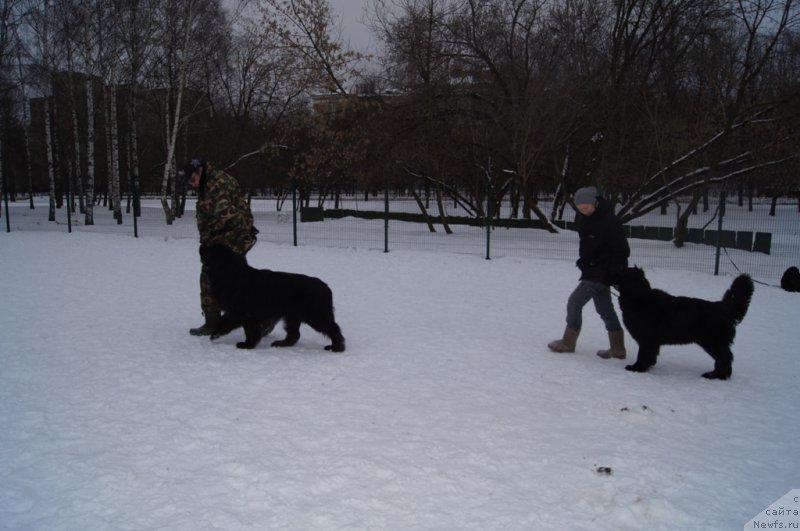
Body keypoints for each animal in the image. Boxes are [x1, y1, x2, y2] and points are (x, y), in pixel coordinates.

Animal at [199, 245, 344, 354]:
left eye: (210, 250)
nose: (201, 245)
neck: (231, 275)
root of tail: (326, 287)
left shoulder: (247, 315)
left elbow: (250, 331)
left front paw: (247, 345)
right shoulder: (235, 313)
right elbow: (224, 321)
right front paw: (215, 334)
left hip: (315, 315)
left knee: (333, 328)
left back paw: (337, 347)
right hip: (292, 316)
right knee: (294, 334)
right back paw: (281, 343)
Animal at [608, 268, 752, 380]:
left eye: (621, 271)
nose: (607, 273)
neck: (640, 298)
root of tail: (721, 307)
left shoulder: (647, 340)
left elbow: (643, 355)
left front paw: (637, 368)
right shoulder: (652, 342)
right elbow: (650, 356)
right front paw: (648, 366)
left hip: (713, 342)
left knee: (725, 358)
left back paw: (715, 375)